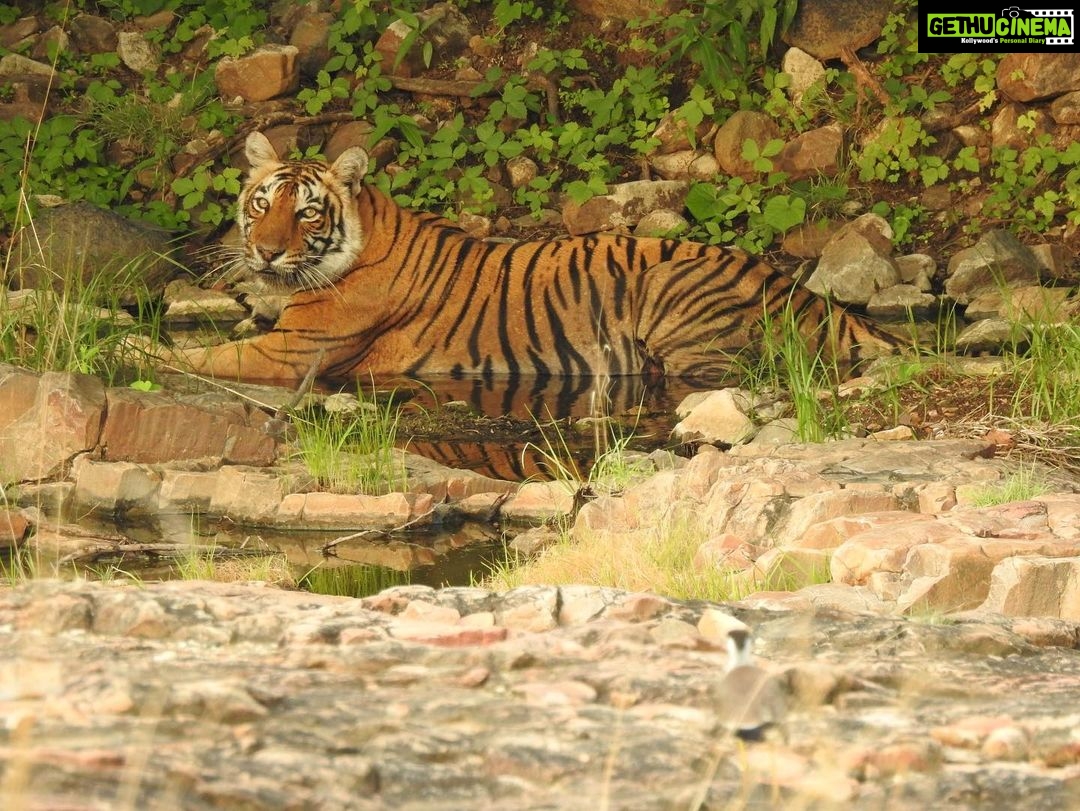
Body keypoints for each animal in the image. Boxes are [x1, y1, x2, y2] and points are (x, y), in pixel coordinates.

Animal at [174, 131, 899, 384]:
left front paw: (146, 357)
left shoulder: (291, 352)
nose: (265, 252)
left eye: (305, 212)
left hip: (673, 295)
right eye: (261, 203)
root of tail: (809, 297)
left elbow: (195, 357)